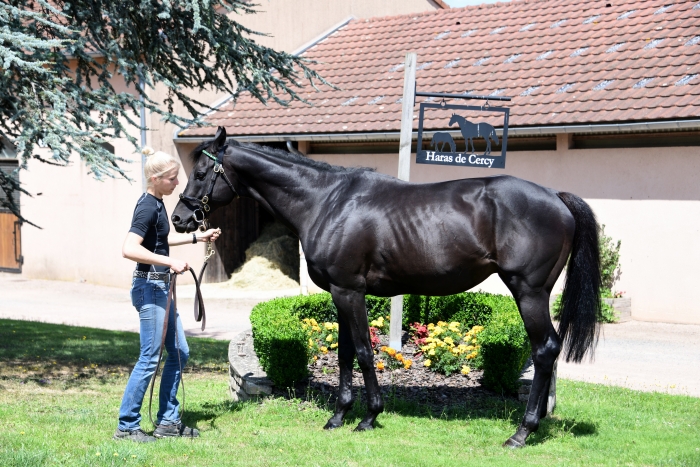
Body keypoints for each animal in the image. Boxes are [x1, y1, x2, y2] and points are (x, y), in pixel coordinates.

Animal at [171, 128, 600, 450]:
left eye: (201, 172)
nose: (179, 219)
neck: (325, 202)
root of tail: (556, 197)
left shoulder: (349, 291)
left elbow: (363, 351)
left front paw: (369, 415)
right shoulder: (340, 293)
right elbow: (345, 354)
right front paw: (339, 416)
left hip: (528, 292)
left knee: (545, 349)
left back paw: (522, 432)